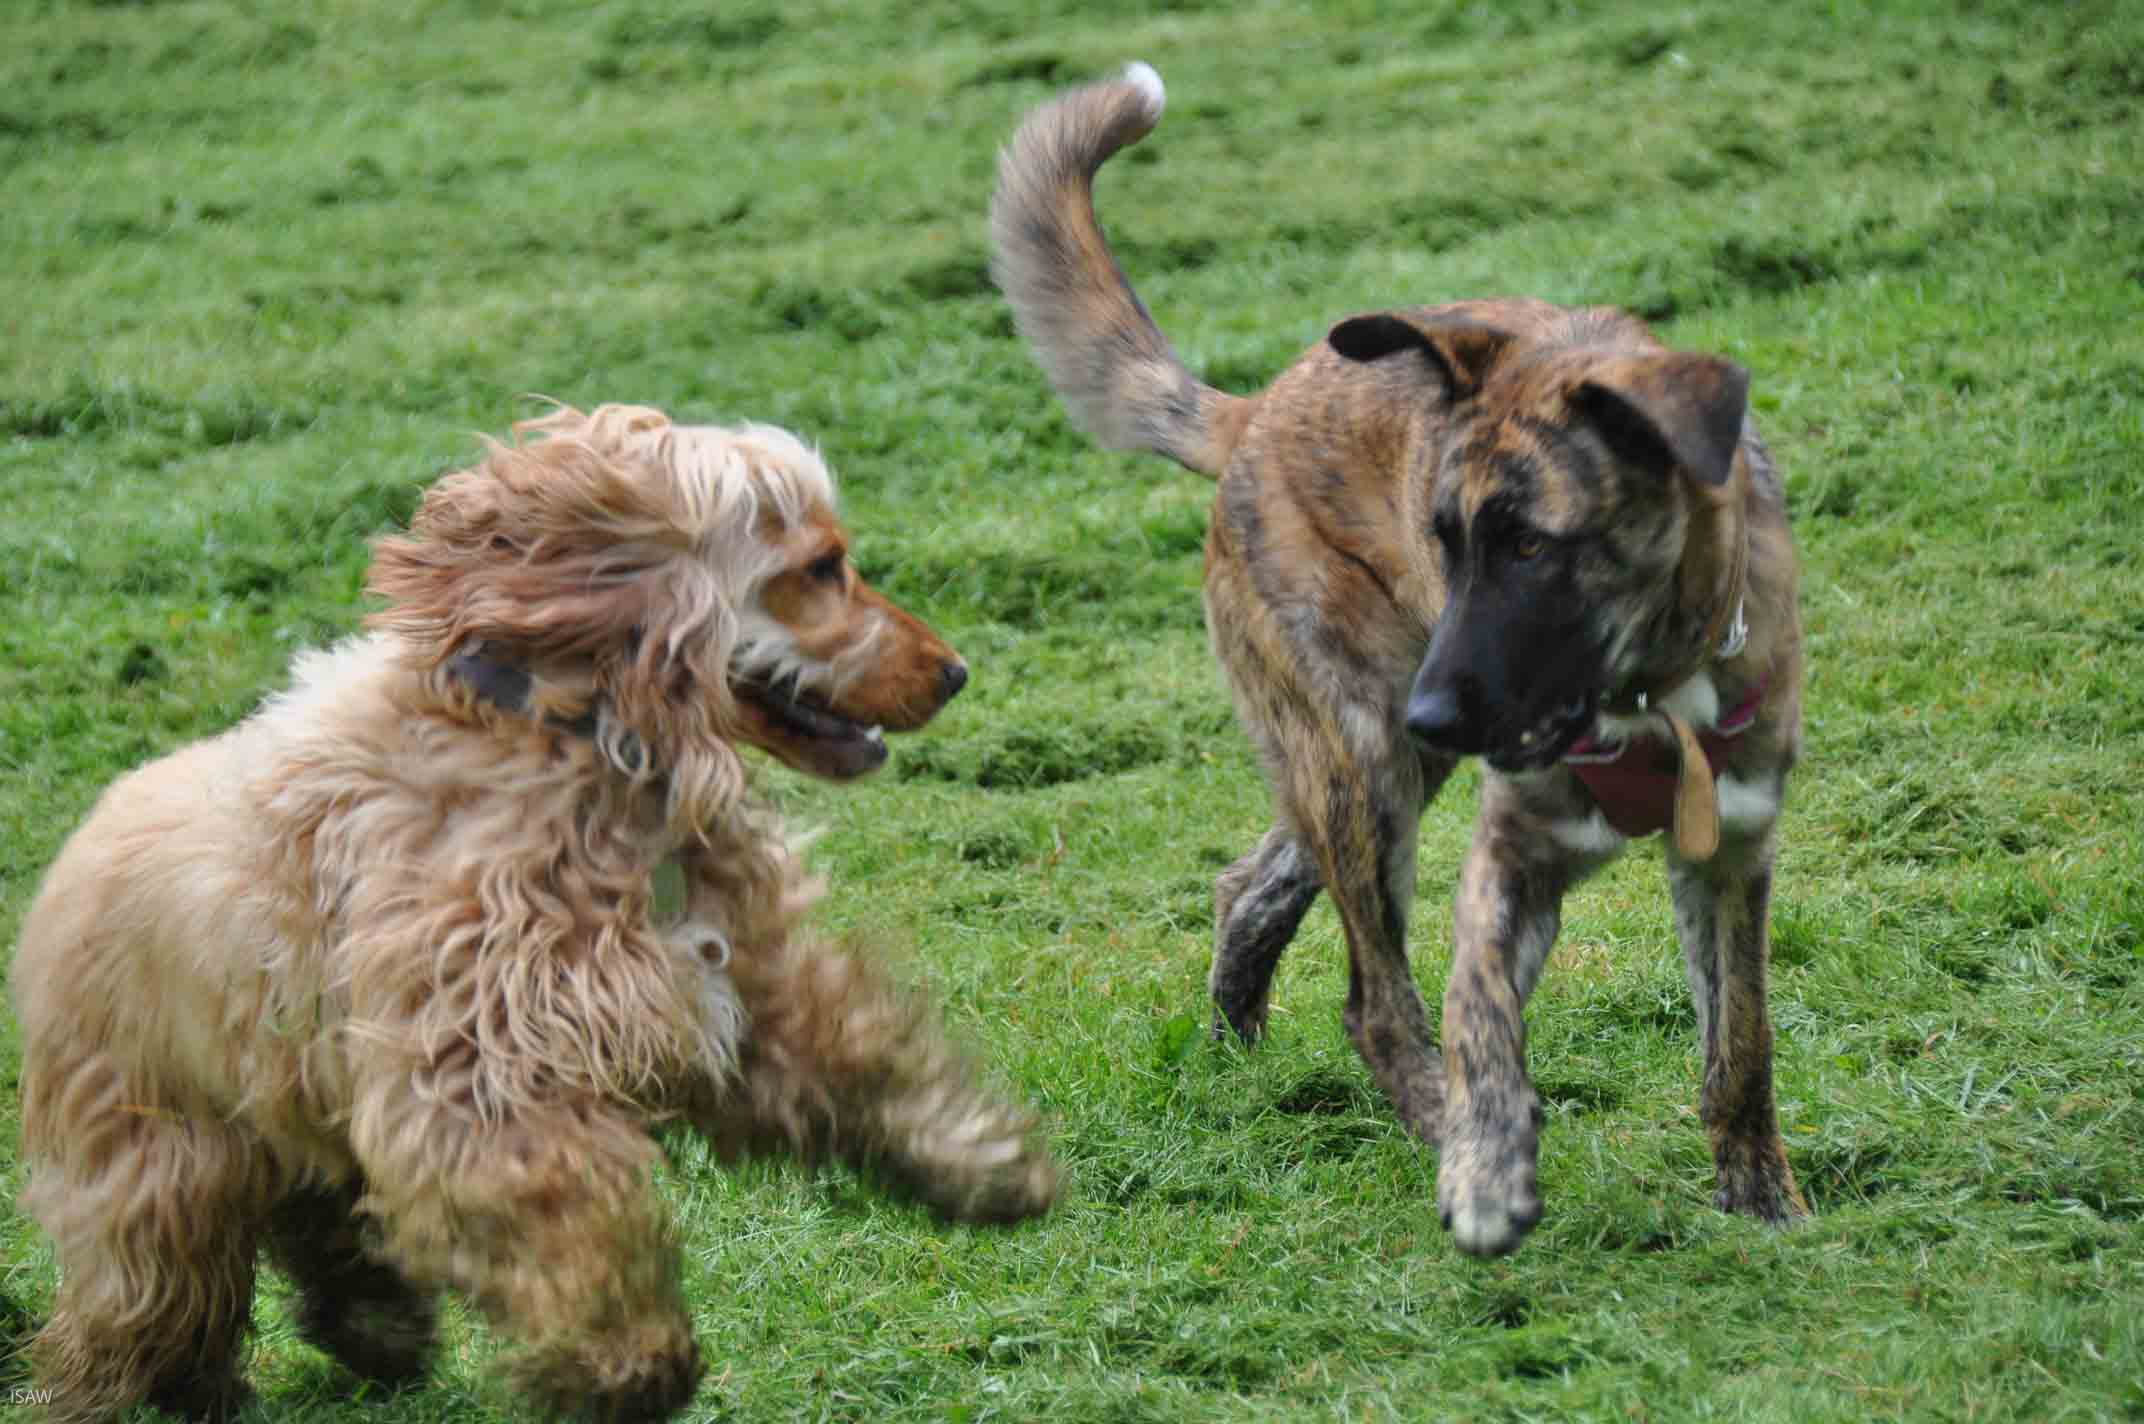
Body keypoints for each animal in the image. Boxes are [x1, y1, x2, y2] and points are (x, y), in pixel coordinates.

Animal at [16, 403, 1054, 1423]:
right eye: (821, 567)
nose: (956, 672)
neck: (581, 748)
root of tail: (64, 864)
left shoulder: (716, 990)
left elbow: (856, 1055)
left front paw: (983, 1158)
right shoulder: (479, 1078)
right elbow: (572, 1208)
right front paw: (625, 1361)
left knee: (324, 1220)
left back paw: (374, 1332)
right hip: (157, 1154)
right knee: (146, 1296)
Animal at [990, 64, 1809, 1261]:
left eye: (1532, 546)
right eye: (1445, 539)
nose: (1435, 708)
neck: (1643, 692)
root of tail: (1252, 416)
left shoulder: (1732, 854)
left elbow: (1738, 1041)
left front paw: (1761, 1199)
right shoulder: (1508, 854)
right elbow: (1477, 1019)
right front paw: (1486, 1161)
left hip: (1364, 763)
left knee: (1252, 885)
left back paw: (1236, 1050)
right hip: (1365, 753)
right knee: (1374, 1004)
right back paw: (1431, 1121)